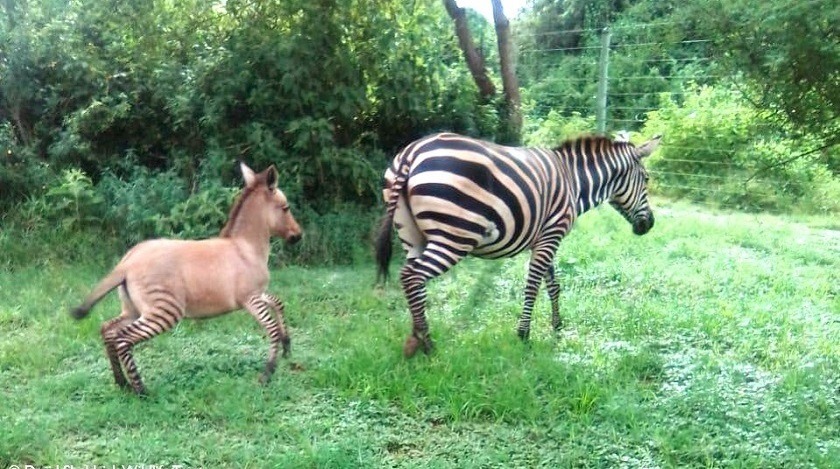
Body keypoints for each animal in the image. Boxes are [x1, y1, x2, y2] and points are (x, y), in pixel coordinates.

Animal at [376, 130, 664, 356]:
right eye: (647, 179)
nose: (649, 225)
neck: (574, 181)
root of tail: (412, 152)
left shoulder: (545, 237)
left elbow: (553, 285)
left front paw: (557, 326)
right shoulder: (551, 234)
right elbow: (533, 286)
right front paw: (524, 334)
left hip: (412, 236)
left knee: (413, 281)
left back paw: (416, 338)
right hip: (454, 236)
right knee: (412, 276)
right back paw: (427, 344)